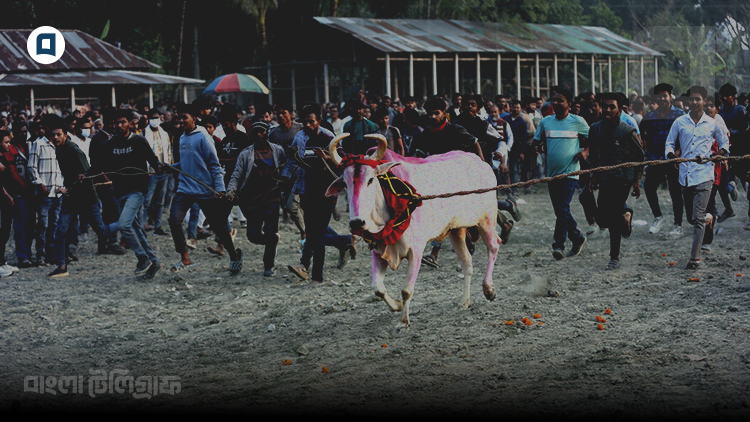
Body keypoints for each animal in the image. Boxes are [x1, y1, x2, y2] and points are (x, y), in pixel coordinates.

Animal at [325, 133, 501, 327]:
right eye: (345, 183)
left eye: (371, 180)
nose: (357, 222)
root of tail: (481, 162)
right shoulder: (379, 250)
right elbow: (378, 288)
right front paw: (396, 305)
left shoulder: (416, 251)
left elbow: (407, 290)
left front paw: (403, 321)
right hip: (456, 230)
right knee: (467, 262)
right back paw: (464, 301)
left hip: (486, 219)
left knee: (494, 245)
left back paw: (489, 289)